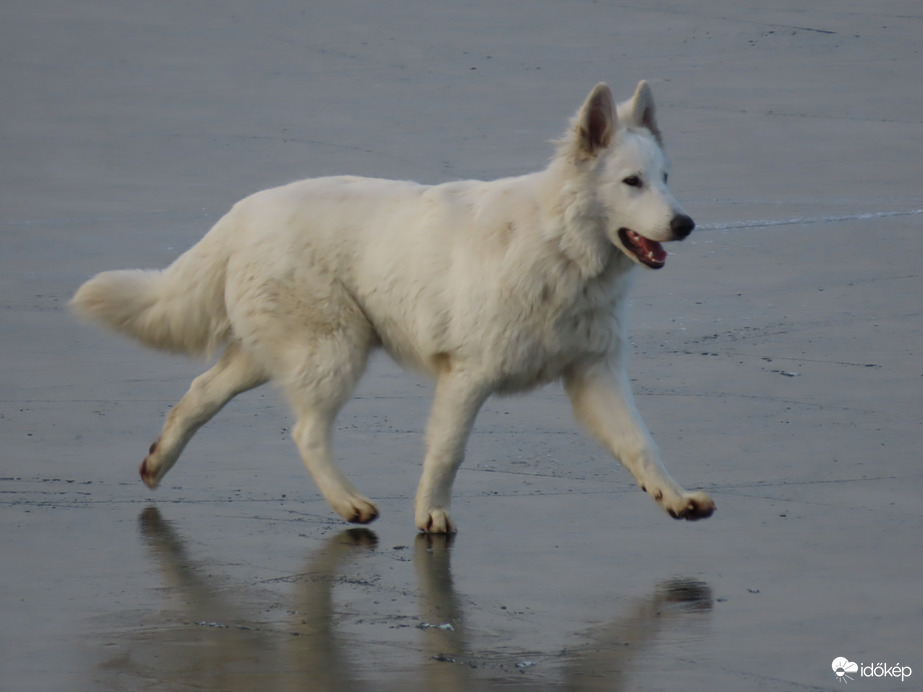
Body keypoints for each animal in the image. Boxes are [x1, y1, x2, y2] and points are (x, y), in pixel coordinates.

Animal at [76, 82, 720, 536]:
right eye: (632, 182)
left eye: (666, 177)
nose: (686, 224)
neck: (557, 246)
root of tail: (242, 211)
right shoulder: (468, 375)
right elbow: (448, 451)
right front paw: (431, 516)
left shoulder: (594, 375)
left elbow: (640, 443)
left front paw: (674, 497)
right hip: (335, 351)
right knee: (306, 430)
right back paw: (346, 503)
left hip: (276, 353)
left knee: (200, 394)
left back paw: (158, 462)